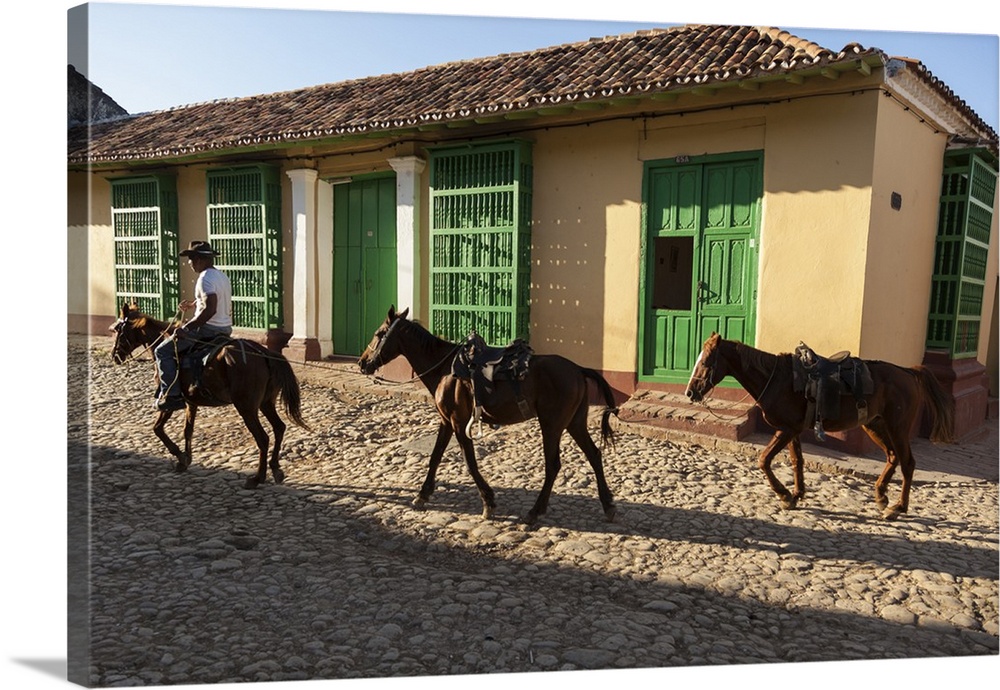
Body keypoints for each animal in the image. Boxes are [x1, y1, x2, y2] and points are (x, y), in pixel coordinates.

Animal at [109, 302, 308, 490]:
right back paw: (275, 468)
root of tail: (263, 352)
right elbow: (187, 430)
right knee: (279, 428)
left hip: (246, 408)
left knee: (263, 438)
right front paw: (185, 459)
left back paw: (257, 478)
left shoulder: (169, 399)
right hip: (266, 403)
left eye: (118, 330)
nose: (115, 356)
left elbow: (157, 428)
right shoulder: (191, 402)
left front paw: (179, 455)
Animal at [356, 304, 620, 524]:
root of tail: (578, 369)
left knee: (553, 465)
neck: (445, 370)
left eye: (379, 333)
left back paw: (535, 511)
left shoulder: (459, 422)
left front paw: (488, 501)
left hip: (552, 425)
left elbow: (470, 461)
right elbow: (435, 456)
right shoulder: (446, 421)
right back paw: (607, 505)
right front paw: (422, 495)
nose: (362, 362)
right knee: (594, 455)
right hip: (574, 423)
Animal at [684, 332, 956, 516]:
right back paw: (881, 496)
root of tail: (908, 372)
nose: (690, 392)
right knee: (892, 457)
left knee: (907, 463)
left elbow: (764, 460)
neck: (777, 379)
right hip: (875, 425)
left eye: (706, 362)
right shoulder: (793, 431)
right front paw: (795, 495)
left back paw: (898, 507)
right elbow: (797, 461)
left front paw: (784, 494)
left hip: (897, 428)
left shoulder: (786, 430)